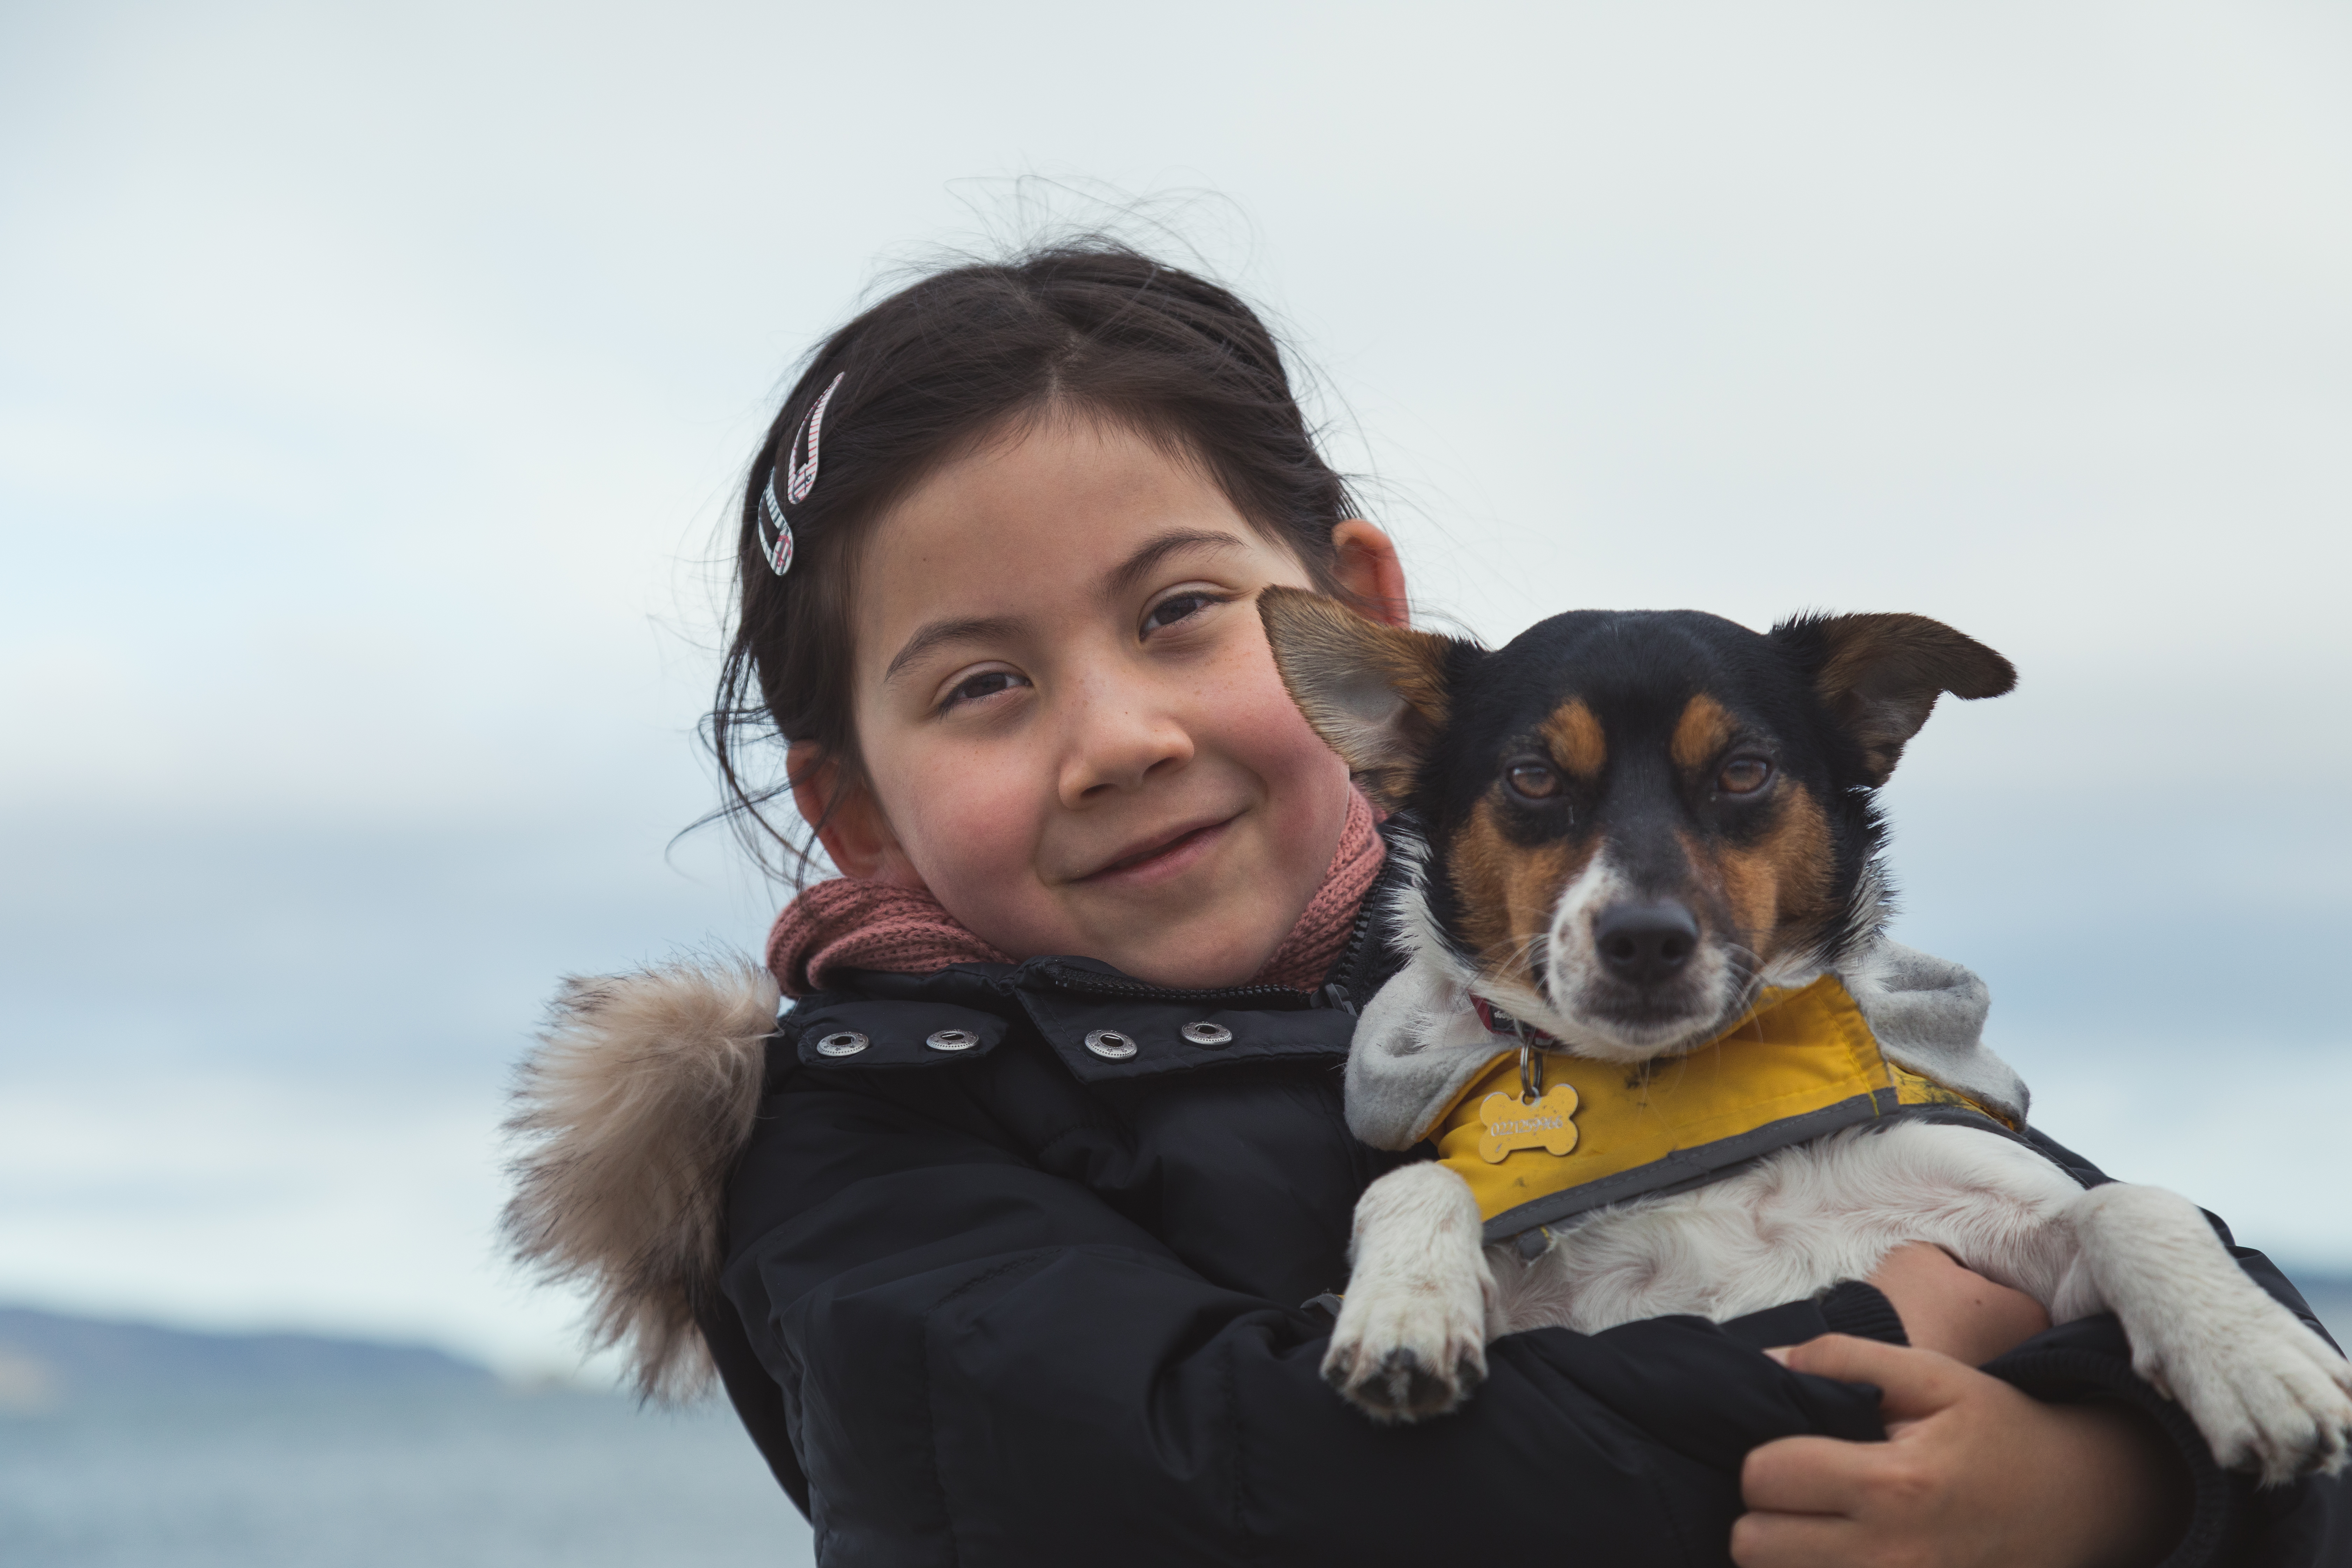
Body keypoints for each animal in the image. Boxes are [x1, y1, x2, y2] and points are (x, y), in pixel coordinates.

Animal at [1270, 585, 2352, 1485]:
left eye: (1745, 770)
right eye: (1533, 778)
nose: (1645, 939)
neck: (1679, 1099)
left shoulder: (2017, 1243)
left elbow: (2131, 1206)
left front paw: (2250, 1354)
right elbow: (1419, 1183)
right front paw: (1406, 1307)